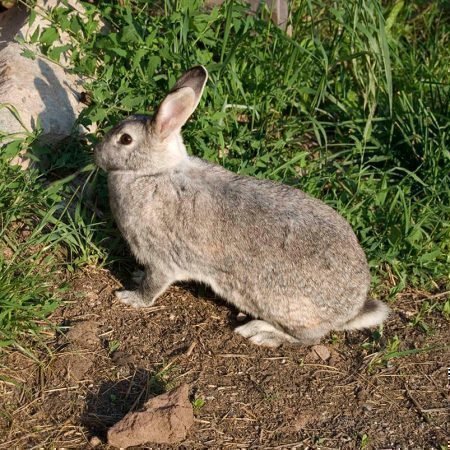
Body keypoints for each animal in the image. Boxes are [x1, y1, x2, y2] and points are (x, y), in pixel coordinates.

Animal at [96, 66, 390, 348]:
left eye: (125, 139)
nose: (97, 153)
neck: (153, 173)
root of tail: (351, 309)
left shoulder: (162, 259)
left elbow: (153, 286)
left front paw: (130, 297)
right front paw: (135, 276)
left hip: (289, 309)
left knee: (308, 339)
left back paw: (260, 333)